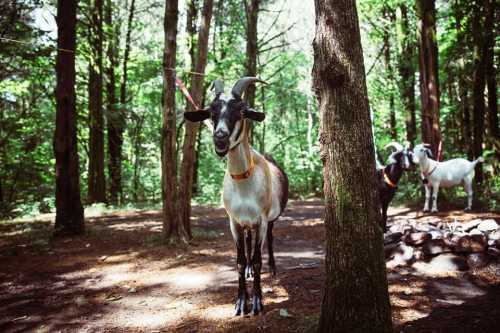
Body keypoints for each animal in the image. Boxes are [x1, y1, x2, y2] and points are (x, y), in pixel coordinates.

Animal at [183, 76, 290, 316]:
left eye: (241, 111)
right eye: (212, 111)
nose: (220, 138)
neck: (244, 183)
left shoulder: (261, 220)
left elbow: (258, 259)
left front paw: (257, 302)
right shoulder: (234, 221)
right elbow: (240, 261)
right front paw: (241, 302)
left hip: (270, 219)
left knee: (269, 239)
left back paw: (273, 267)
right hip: (246, 224)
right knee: (250, 241)